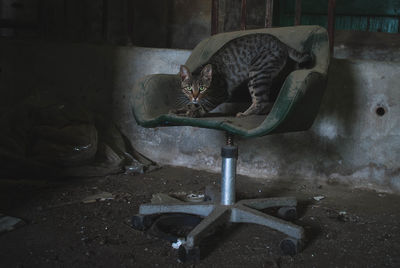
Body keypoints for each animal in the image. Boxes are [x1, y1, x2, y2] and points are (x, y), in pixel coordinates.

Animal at [173, 33, 314, 117]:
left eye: (202, 88)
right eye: (189, 88)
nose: (195, 96)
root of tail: (281, 42)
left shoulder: (221, 94)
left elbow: (204, 105)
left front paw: (193, 112)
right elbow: (191, 104)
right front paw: (183, 109)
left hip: (257, 73)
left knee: (262, 101)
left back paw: (244, 114)